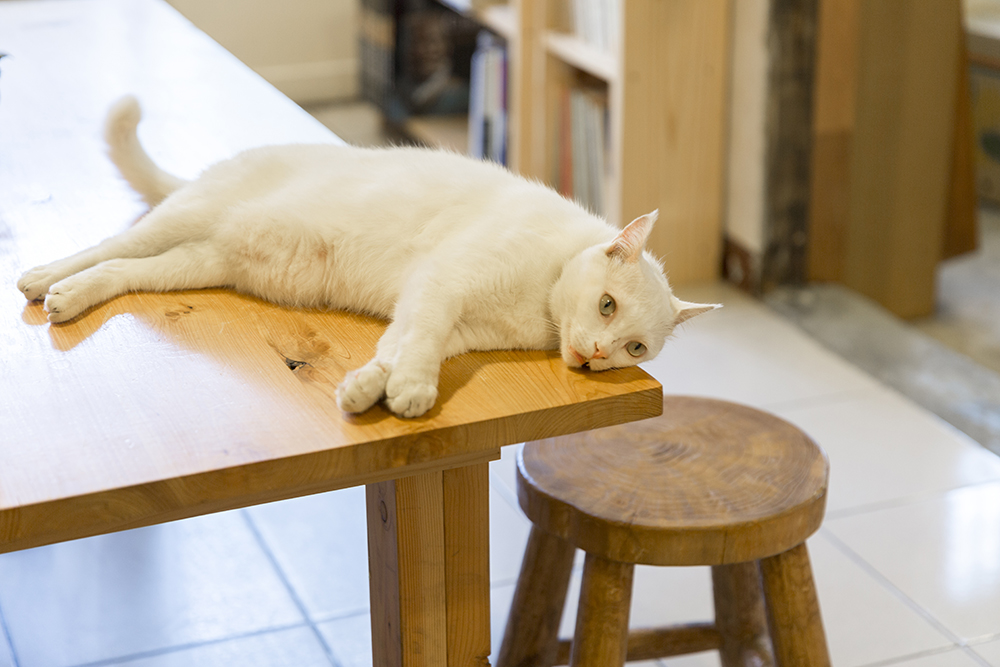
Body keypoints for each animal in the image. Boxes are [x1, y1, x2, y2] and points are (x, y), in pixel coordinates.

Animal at [15, 95, 720, 418]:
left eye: (635, 348)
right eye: (606, 305)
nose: (599, 354)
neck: (538, 309)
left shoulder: (447, 320)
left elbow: (401, 346)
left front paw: (369, 388)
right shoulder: (442, 286)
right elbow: (418, 347)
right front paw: (411, 393)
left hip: (197, 262)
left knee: (120, 271)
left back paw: (70, 297)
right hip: (185, 218)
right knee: (106, 245)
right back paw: (44, 278)